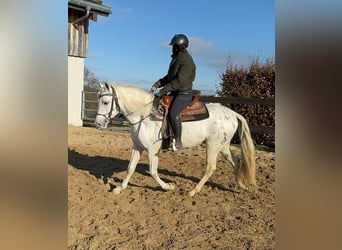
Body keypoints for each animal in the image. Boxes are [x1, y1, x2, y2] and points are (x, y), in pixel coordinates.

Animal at [95, 81, 255, 195]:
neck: (145, 116)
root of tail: (233, 114)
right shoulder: (137, 147)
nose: (98, 123)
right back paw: (241, 185)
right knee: (235, 161)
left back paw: (193, 191)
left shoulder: (153, 149)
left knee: (210, 168)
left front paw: (168, 187)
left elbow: (153, 172)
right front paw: (120, 188)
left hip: (213, 145)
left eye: (105, 102)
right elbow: (130, 168)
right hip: (223, 146)